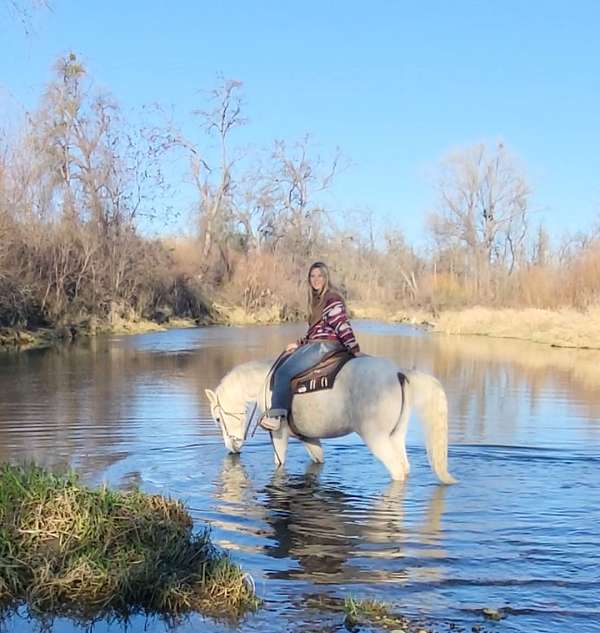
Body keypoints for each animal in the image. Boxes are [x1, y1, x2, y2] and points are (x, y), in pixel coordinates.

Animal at [204, 356, 458, 484]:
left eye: (217, 418)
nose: (232, 448)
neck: (266, 384)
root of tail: (399, 373)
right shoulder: (308, 438)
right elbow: (318, 459)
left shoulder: (279, 434)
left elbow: (279, 464)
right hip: (396, 436)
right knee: (405, 469)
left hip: (377, 439)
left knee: (396, 471)